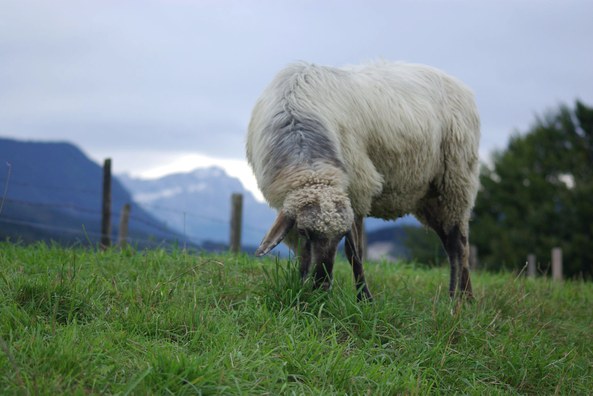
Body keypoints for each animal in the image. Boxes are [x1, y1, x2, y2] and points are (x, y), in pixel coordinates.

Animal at [246, 61, 480, 300]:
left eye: (340, 236)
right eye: (305, 232)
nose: (321, 286)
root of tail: (456, 82)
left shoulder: (357, 191)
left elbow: (354, 253)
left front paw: (364, 299)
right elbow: (299, 250)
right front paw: (301, 286)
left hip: (456, 182)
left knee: (458, 246)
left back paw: (458, 299)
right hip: (429, 198)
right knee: (453, 242)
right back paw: (462, 297)